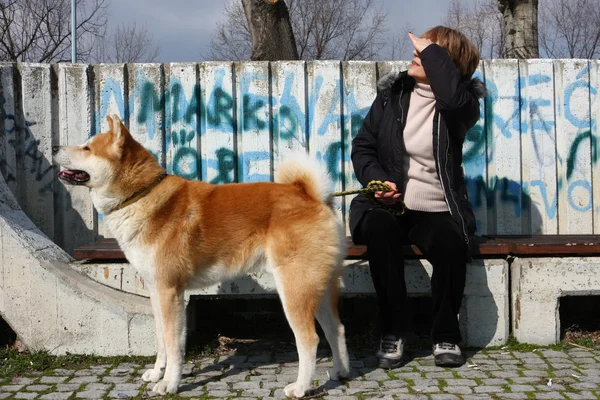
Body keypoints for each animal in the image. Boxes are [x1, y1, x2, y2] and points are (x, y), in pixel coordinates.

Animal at [55, 114, 352, 396]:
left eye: (87, 148)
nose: (55, 147)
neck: (141, 195)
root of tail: (312, 196)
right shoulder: (156, 291)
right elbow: (161, 340)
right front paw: (157, 373)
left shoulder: (170, 291)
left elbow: (174, 345)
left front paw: (169, 384)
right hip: (318, 286)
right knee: (336, 329)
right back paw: (340, 372)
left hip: (294, 289)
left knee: (310, 340)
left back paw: (301, 388)